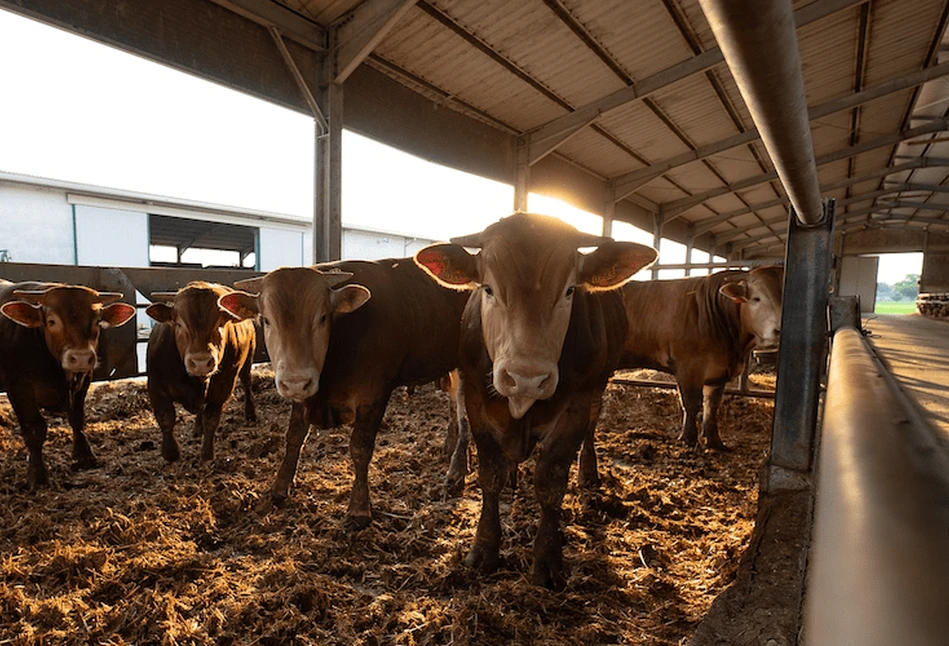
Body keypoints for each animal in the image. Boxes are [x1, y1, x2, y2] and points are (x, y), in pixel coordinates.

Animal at [0, 280, 138, 488]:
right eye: (51, 321)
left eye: (97, 322)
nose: (80, 357)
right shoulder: (19, 388)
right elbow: (34, 429)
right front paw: (37, 475)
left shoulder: (84, 379)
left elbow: (77, 418)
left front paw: (84, 455)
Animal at [144, 284, 258, 466]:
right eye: (179, 324)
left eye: (220, 323)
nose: (201, 362)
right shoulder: (156, 386)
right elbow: (166, 418)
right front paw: (171, 452)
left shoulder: (223, 387)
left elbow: (211, 419)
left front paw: (207, 454)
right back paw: (197, 429)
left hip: (248, 360)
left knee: (247, 384)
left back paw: (250, 413)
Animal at [222, 260, 474, 532]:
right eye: (266, 320)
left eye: (323, 317)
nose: (296, 381)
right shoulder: (305, 396)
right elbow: (294, 438)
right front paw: (279, 488)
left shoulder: (373, 395)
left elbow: (360, 448)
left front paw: (359, 509)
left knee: (464, 412)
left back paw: (457, 470)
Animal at [414, 214, 660, 592]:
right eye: (488, 289)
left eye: (570, 290)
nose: (526, 377)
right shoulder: (476, 398)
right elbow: (490, 475)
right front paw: (484, 549)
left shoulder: (576, 406)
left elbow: (551, 483)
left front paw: (547, 560)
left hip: (599, 386)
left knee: (592, 428)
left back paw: (588, 472)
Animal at [576, 266, 784, 478]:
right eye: (757, 298)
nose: (779, 330)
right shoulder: (689, 367)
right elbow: (691, 405)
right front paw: (689, 440)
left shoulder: (717, 374)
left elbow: (711, 407)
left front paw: (715, 441)